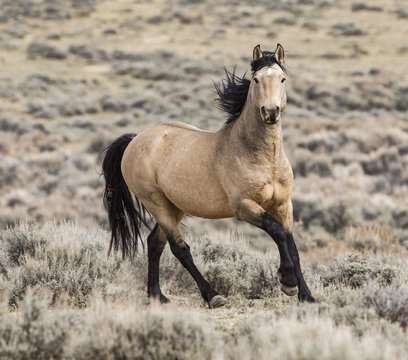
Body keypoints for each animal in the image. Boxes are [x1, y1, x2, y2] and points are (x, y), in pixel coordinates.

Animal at [103, 43, 316, 308]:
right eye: (256, 79)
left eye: (282, 79)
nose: (270, 112)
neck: (264, 158)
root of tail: (135, 140)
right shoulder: (243, 206)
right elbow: (276, 231)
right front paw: (287, 281)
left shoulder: (283, 203)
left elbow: (292, 245)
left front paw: (306, 295)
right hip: (156, 202)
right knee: (179, 248)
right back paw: (213, 295)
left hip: (174, 206)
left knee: (155, 243)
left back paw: (157, 296)